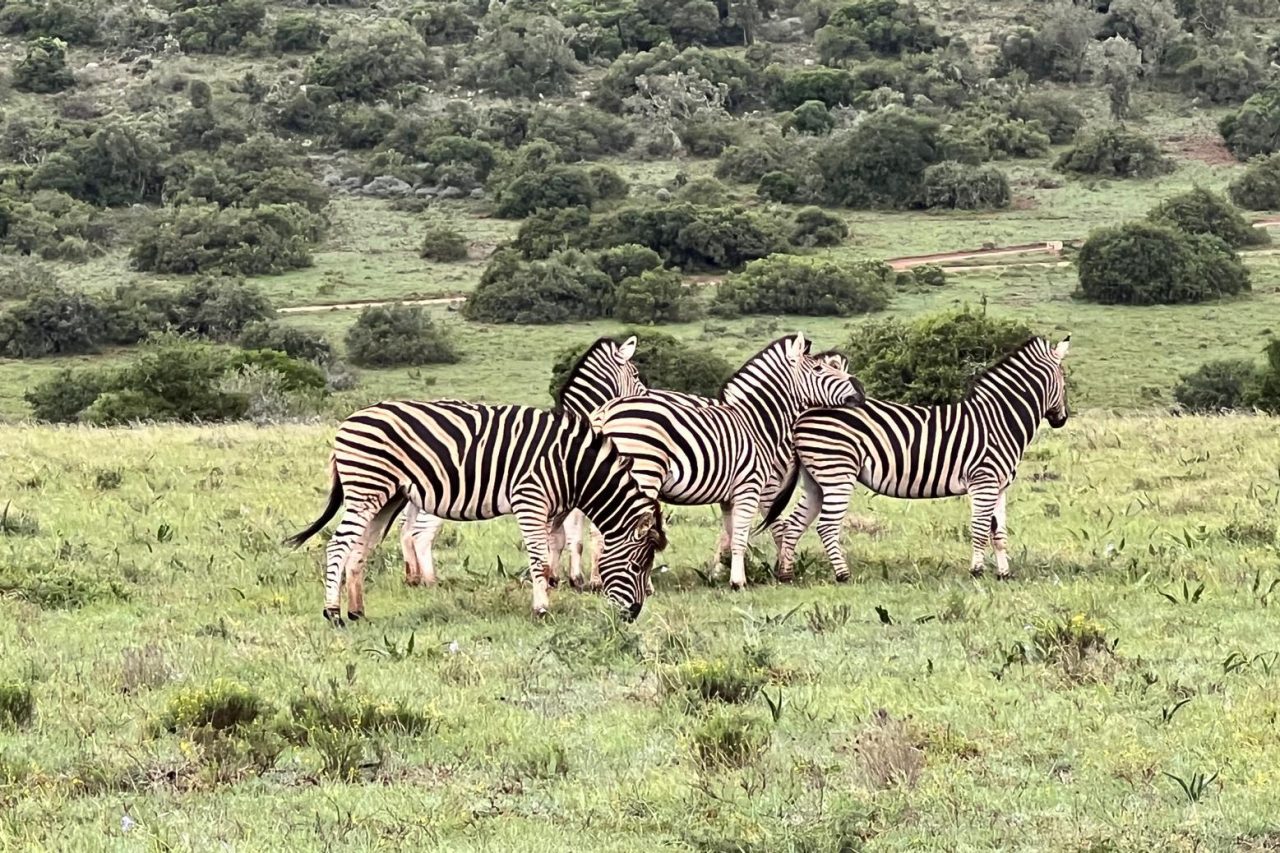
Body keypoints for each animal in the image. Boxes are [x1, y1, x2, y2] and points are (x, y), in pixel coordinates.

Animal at [285, 400, 667, 624]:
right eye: (638, 567)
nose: (633, 616)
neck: (574, 466)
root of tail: (348, 421)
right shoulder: (530, 498)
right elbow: (537, 558)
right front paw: (542, 608)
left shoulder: (551, 510)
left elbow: (548, 555)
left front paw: (550, 592)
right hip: (366, 488)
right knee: (338, 545)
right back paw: (333, 613)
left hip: (386, 496)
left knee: (359, 549)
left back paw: (357, 611)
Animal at [397, 335, 646, 591]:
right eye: (636, 374)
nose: (645, 397)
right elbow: (574, 539)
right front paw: (577, 579)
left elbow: (558, 538)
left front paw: (558, 577)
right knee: (421, 534)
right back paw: (431, 581)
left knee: (407, 531)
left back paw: (414, 577)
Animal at [589, 333, 864, 590]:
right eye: (818, 369)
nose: (859, 391)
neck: (755, 423)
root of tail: (605, 412)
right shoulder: (749, 488)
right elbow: (741, 538)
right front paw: (739, 582)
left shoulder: (728, 498)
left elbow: (731, 538)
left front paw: (724, 575)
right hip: (642, 473)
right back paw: (643, 586)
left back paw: (602, 582)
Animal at [762, 335, 1071, 583]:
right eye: (1064, 381)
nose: (1062, 420)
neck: (999, 420)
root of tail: (805, 413)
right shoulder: (983, 481)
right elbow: (980, 529)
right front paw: (977, 571)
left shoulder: (999, 486)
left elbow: (999, 533)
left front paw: (1004, 574)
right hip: (838, 473)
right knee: (826, 526)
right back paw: (843, 575)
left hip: (816, 480)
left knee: (794, 524)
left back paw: (786, 574)